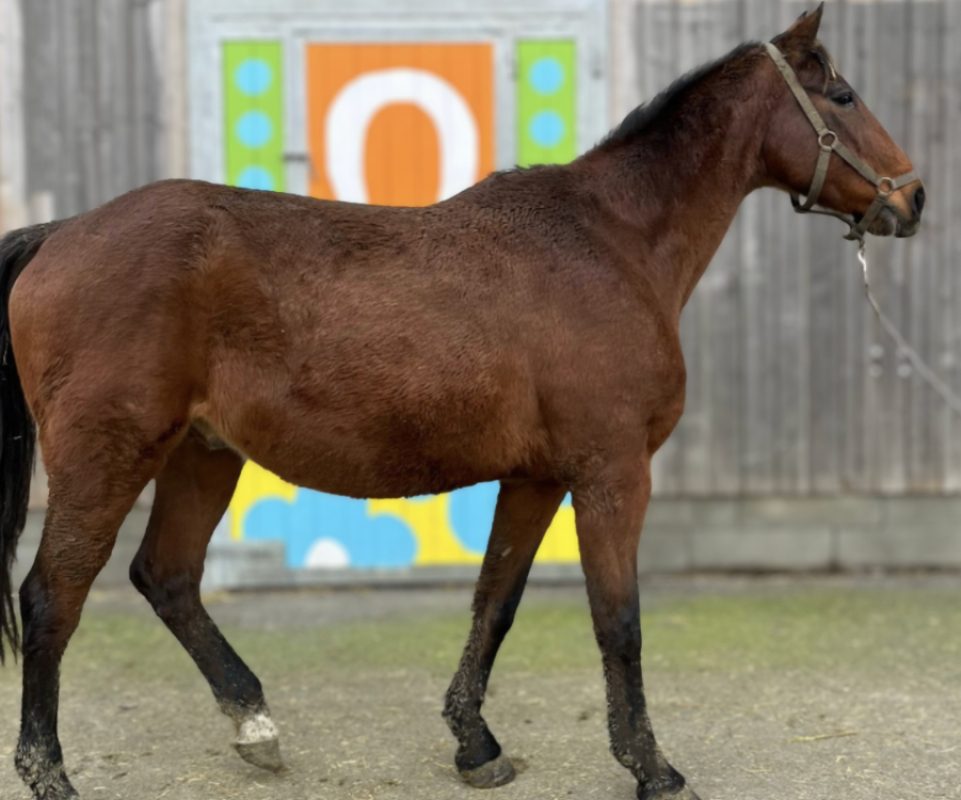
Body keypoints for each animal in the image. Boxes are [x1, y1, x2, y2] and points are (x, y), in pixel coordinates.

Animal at [0, 5, 923, 799]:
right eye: (841, 94)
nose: (910, 197)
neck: (610, 242)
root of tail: (62, 233)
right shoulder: (611, 474)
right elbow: (616, 620)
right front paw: (651, 768)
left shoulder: (536, 478)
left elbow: (495, 601)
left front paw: (474, 744)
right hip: (109, 455)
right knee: (52, 594)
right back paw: (51, 773)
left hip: (202, 453)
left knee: (167, 577)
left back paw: (254, 723)